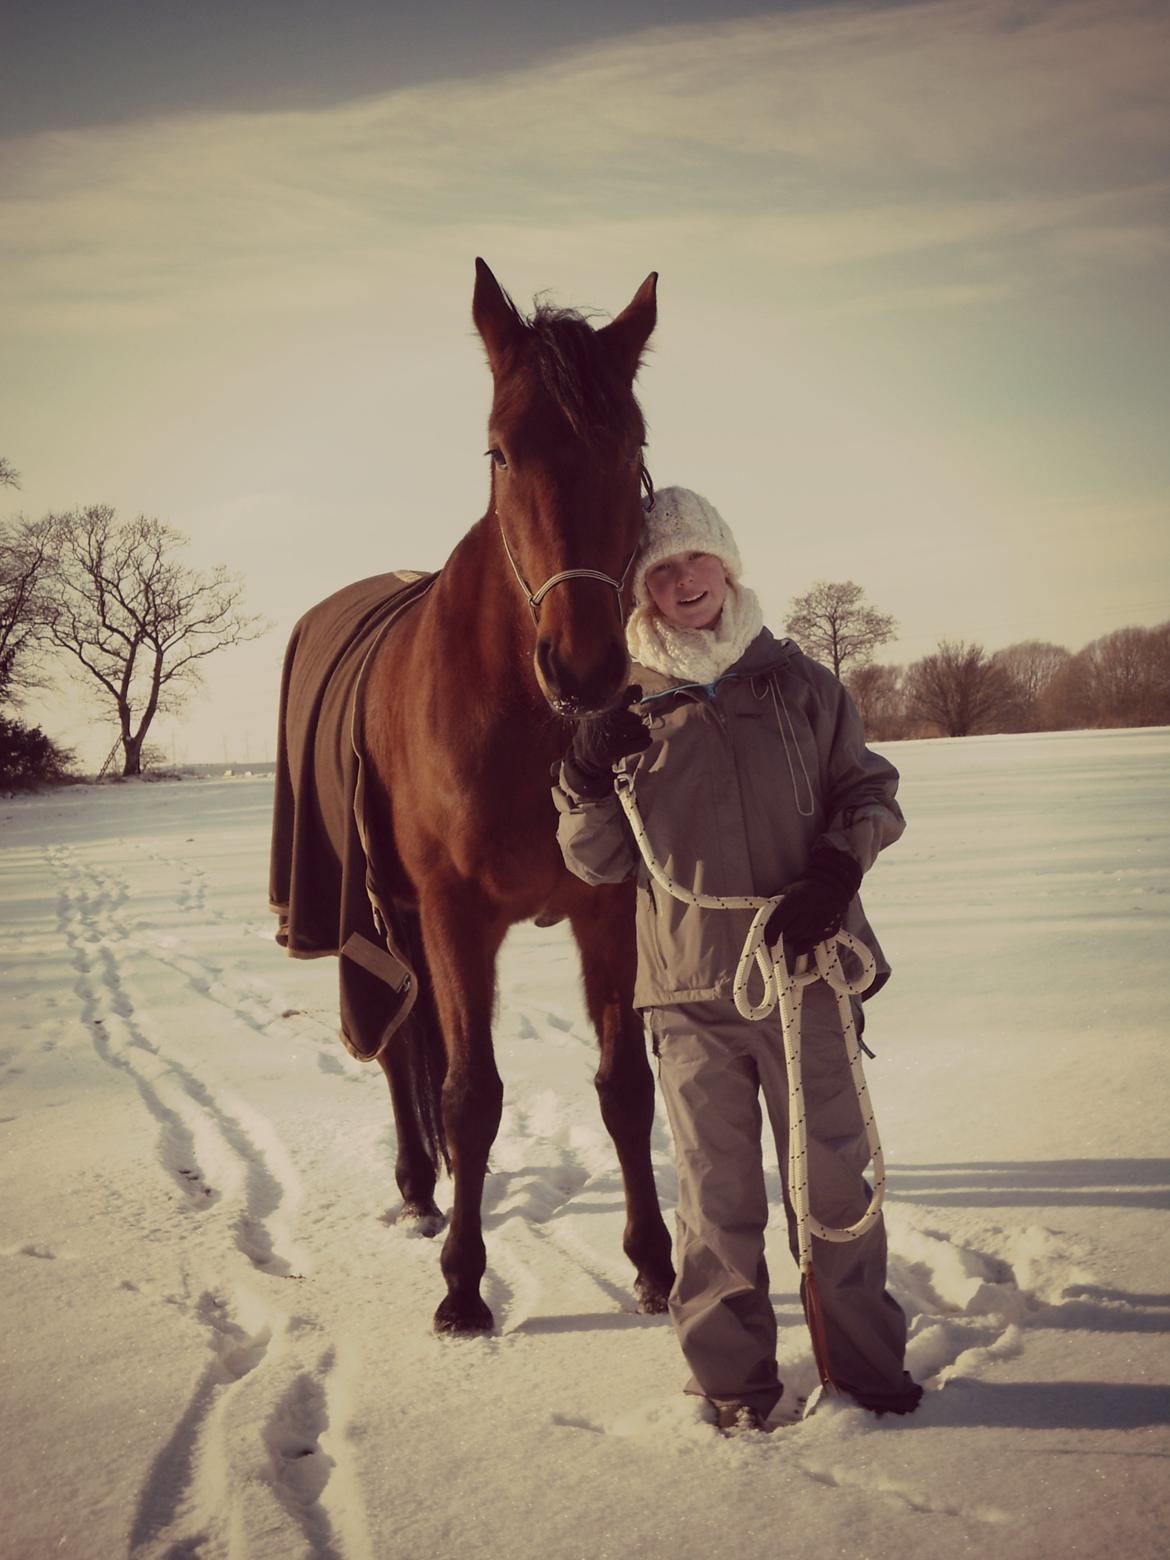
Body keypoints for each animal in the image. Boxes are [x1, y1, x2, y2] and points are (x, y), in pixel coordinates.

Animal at [357, 262, 673, 1335]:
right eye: (500, 450)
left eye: (633, 446)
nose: (584, 667)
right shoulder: (456, 915)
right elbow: (471, 1096)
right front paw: (462, 1286)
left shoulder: (607, 907)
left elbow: (625, 1087)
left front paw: (655, 1265)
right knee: (405, 1052)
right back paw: (421, 1190)